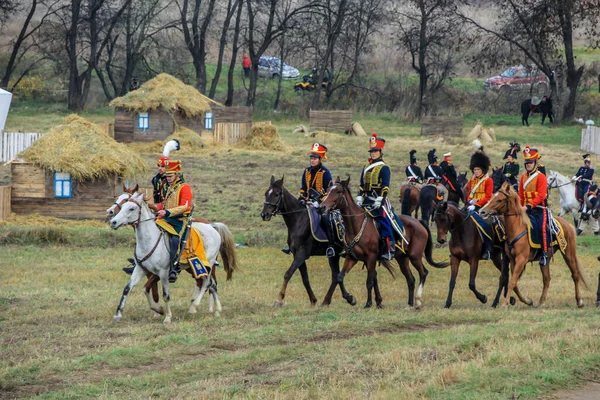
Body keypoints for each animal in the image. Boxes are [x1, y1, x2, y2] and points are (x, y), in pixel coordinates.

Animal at [110, 190, 237, 322]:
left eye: (131, 208)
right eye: (123, 205)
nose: (113, 222)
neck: (149, 241)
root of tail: (212, 227)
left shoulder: (163, 273)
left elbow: (165, 295)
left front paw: (167, 317)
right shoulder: (141, 269)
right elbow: (129, 289)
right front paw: (118, 314)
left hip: (208, 264)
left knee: (207, 283)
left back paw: (195, 306)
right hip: (196, 267)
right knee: (210, 284)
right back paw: (216, 310)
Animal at [258, 175, 356, 306]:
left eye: (277, 194)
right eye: (266, 193)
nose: (264, 214)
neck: (298, 219)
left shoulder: (302, 254)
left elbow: (288, 274)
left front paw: (279, 299)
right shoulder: (297, 254)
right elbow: (305, 278)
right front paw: (313, 300)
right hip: (333, 256)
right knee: (336, 275)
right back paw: (338, 298)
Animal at [322, 177, 448, 310]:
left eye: (338, 191)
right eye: (328, 190)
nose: (322, 206)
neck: (356, 225)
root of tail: (419, 222)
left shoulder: (371, 258)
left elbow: (370, 281)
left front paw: (368, 303)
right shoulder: (352, 258)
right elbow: (340, 277)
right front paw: (351, 299)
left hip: (415, 256)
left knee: (423, 273)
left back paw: (418, 301)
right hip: (402, 259)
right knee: (411, 279)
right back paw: (410, 304)